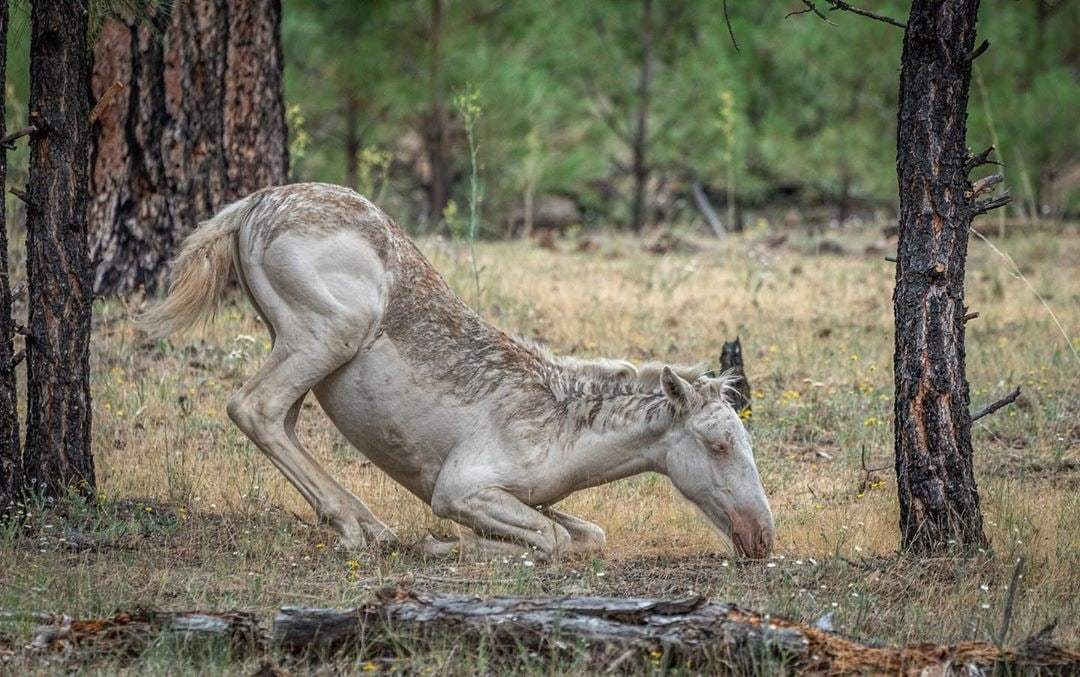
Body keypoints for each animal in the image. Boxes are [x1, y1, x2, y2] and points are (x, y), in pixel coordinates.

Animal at [140, 183, 774, 559]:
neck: (565, 431)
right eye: (719, 444)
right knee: (255, 407)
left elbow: (586, 534)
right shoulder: (461, 487)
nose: (762, 535)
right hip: (325, 334)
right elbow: (548, 539)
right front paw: (451, 546)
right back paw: (362, 529)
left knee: (283, 421)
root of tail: (254, 204)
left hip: (296, 343)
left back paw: (370, 525)